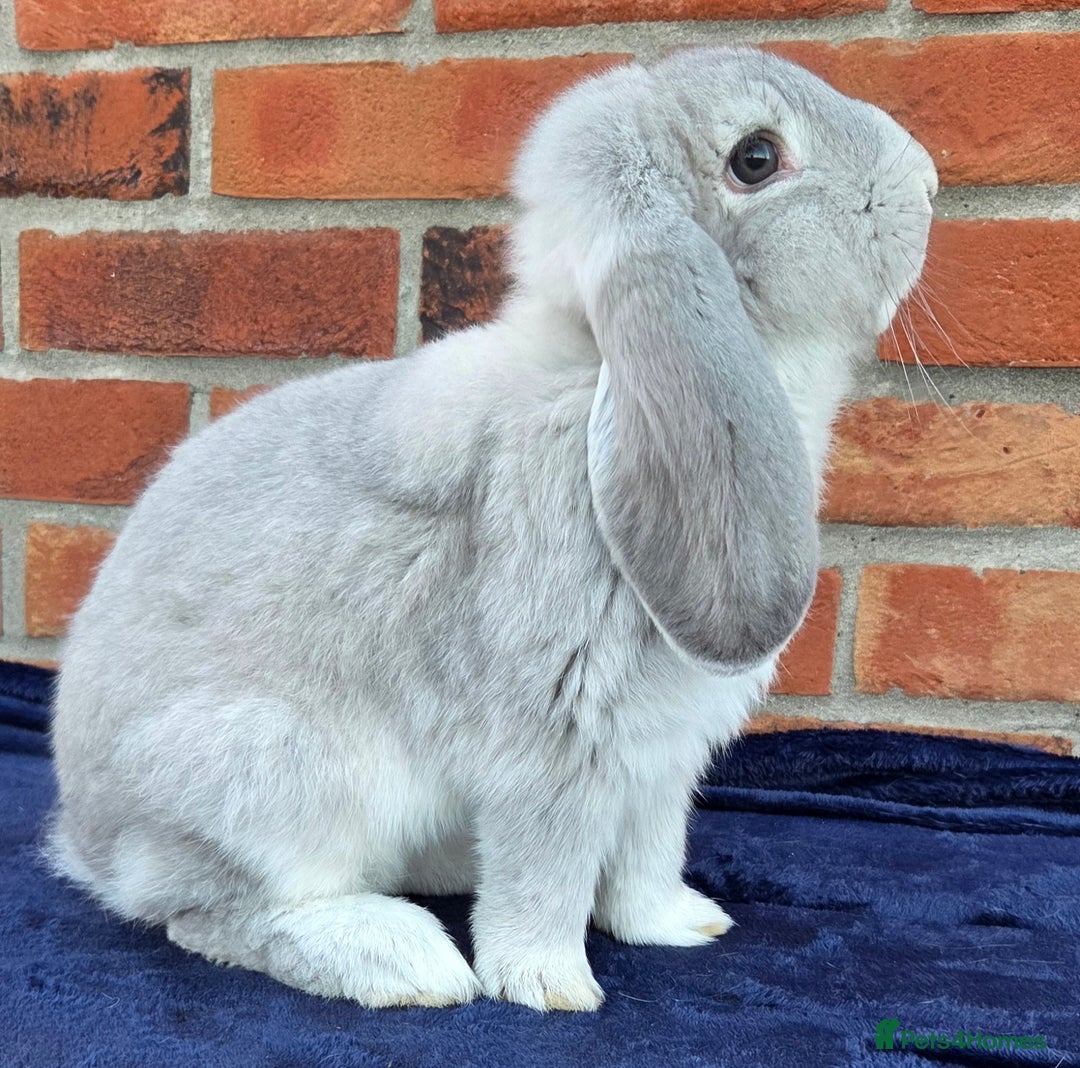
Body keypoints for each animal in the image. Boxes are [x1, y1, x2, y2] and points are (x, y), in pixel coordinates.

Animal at [47, 46, 936, 1012]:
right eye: (756, 158)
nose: (929, 180)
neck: (601, 379)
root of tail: (91, 842)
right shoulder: (555, 740)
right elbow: (545, 872)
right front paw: (551, 986)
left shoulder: (659, 761)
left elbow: (648, 858)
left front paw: (683, 927)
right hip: (271, 779)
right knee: (209, 916)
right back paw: (406, 961)